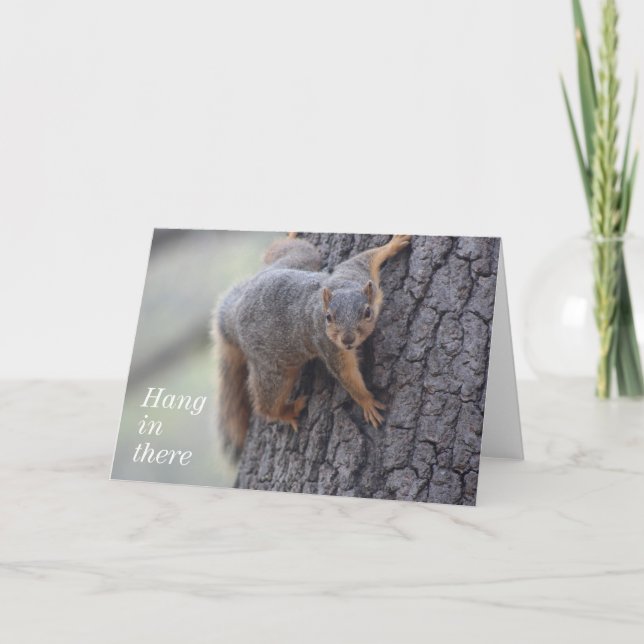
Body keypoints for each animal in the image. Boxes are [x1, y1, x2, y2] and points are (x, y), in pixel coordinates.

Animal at [213, 233, 412, 458]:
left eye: (367, 312)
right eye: (328, 317)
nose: (347, 340)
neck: (343, 286)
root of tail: (235, 313)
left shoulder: (355, 272)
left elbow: (367, 256)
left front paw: (393, 244)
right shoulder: (330, 346)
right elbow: (347, 375)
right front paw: (366, 402)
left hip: (298, 259)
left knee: (287, 250)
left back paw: (289, 235)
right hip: (273, 370)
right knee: (267, 404)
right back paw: (287, 411)